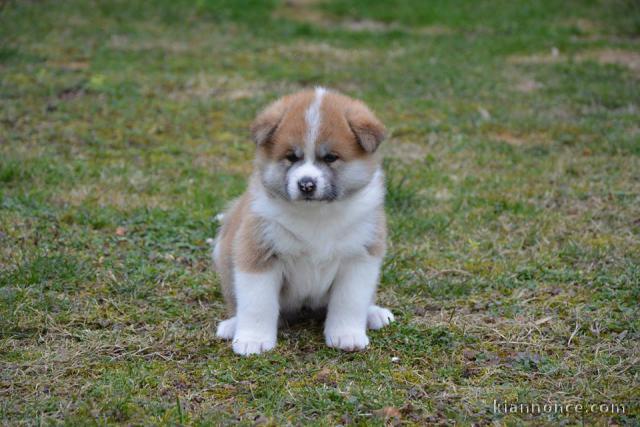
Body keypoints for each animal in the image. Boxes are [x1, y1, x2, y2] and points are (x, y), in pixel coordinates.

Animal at [215, 88, 392, 356]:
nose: (306, 184)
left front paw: (346, 335)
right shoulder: (258, 252)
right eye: (291, 157)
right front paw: (253, 340)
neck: (315, 215)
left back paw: (374, 314)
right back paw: (232, 325)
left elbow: (349, 301)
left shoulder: (360, 257)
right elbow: (257, 304)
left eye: (330, 158)